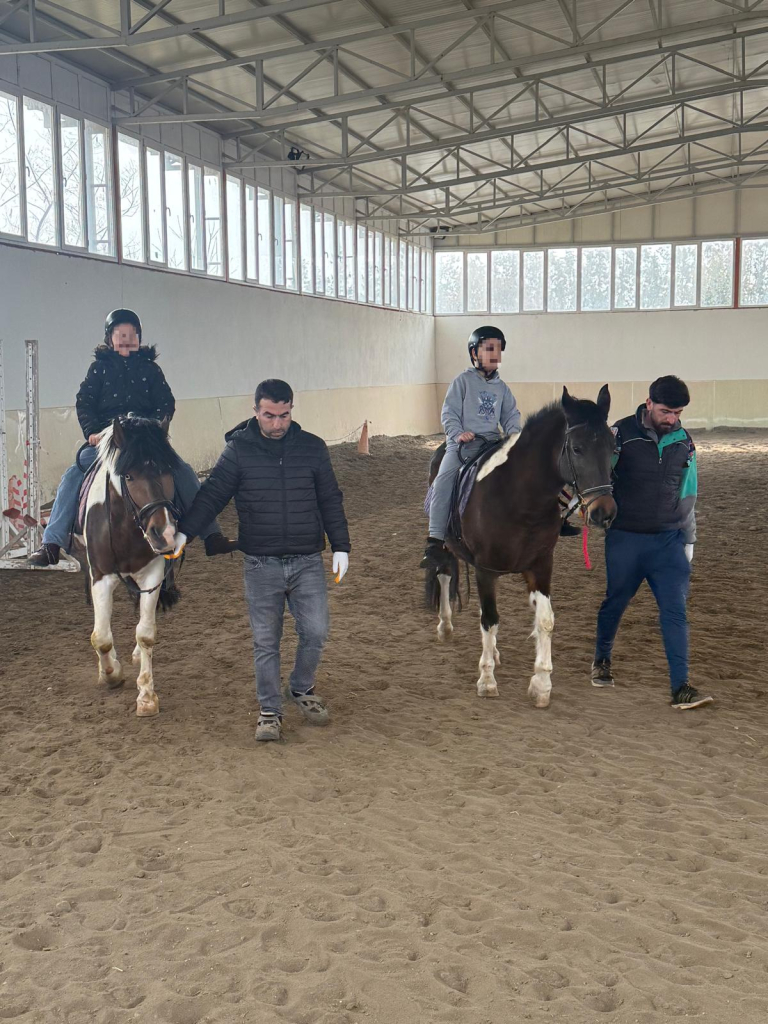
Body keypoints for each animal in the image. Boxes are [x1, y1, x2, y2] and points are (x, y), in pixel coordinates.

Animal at [77, 415, 183, 717]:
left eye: (167, 470)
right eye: (128, 476)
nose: (164, 533)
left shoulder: (153, 574)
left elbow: (146, 633)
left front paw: (146, 696)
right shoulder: (101, 577)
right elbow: (101, 637)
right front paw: (111, 674)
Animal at [424, 386, 617, 709]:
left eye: (613, 449)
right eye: (577, 449)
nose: (605, 512)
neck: (519, 497)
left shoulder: (540, 566)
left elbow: (545, 621)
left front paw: (541, 685)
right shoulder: (485, 569)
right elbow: (489, 619)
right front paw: (487, 680)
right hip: (447, 547)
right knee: (444, 574)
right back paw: (445, 626)